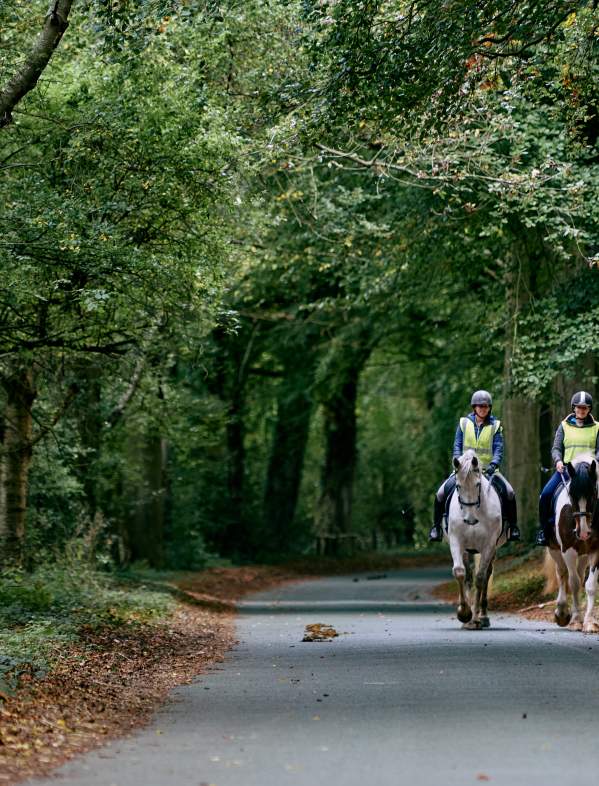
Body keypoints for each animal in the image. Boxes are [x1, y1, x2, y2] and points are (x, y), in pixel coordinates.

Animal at [445, 449, 505, 630]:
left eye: (478, 485)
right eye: (458, 486)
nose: (470, 520)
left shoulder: (489, 545)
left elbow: (480, 578)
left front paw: (476, 617)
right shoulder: (456, 541)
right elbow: (460, 572)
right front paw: (464, 614)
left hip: (492, 549)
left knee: (485, 574)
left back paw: (482, 617)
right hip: (468, 549)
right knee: (468, 575)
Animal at [545, 453, 599, 632]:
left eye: (593, 494)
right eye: (572, 496)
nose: (583, 532)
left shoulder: (596, 550)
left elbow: (590, 585)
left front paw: (589, 622)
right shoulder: (567, 550)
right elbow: (573, 583)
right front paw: (575, 620)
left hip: (583, 554)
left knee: (580, 575)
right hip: (555, 550)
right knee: (562, 573)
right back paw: (562, 613)